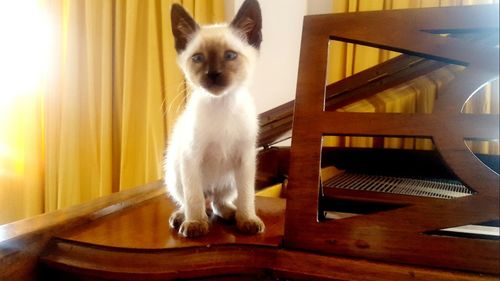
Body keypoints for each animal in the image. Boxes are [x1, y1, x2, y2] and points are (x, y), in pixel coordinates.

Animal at [165, 0, 266, 236]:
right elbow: (193, 199)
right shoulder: (191, 159)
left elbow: (247, 197)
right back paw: (182, 218)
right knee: (194, 199)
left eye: (230, 56)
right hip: (174, 173)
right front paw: (195, 224)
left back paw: (231, 214)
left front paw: (247, 219)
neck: (222, 105)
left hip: (229, 180)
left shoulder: (245, 160)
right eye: (198, 58)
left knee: (217, 200)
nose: (213, 74)